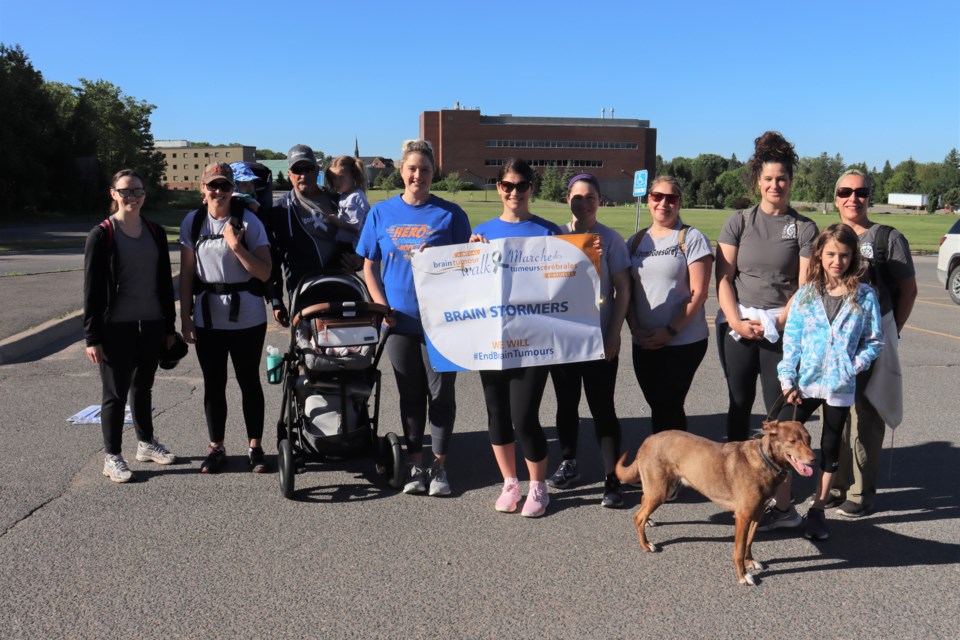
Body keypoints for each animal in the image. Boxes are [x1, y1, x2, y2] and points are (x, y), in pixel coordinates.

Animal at [620, 420, 812, 584]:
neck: (765, 460)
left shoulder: (757, 514)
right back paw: (645, 544)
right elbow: (739, 550)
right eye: (793, 441)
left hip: (661, 489)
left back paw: (649, 521)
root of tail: (649, 439)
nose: (814, 459)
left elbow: (749, 542)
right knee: (638, 516)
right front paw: (742, 575)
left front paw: (750, 561)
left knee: (643, 500)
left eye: (809, 439)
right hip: (660, 491)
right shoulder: (743, 516)